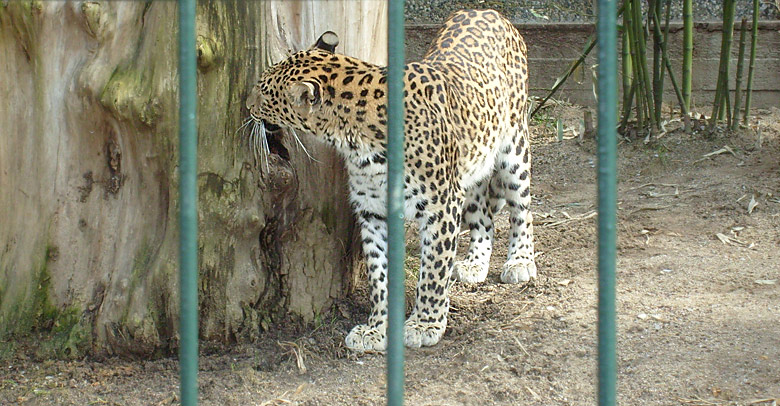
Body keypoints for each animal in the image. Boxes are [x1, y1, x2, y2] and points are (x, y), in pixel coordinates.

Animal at [248, 9, 536, 352]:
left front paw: (425, 324)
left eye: (264, 92)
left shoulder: (441, 206)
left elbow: (433, 271)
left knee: (522, 209)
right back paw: (474, 263)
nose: (247, 105)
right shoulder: (374, 211)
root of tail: (486, 11)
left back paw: (520, 261)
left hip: (514, 148)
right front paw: (376, 327)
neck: (358, 142)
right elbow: (379, 274)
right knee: (482, 216)